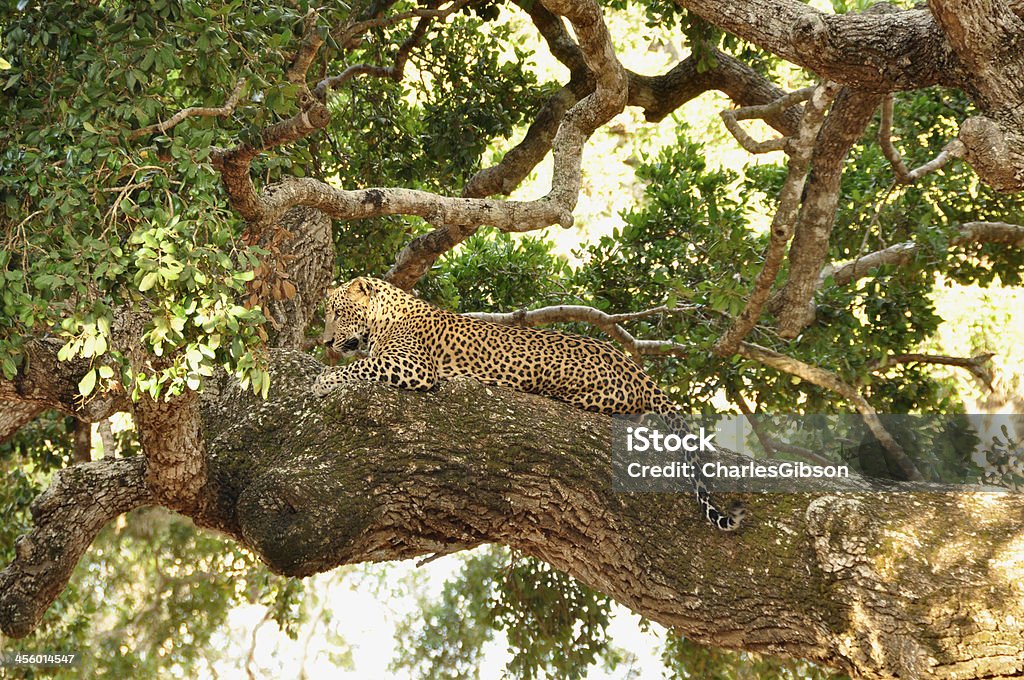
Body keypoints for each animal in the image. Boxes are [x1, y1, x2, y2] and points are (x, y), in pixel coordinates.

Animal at [311, 276, 745, 532]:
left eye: (338, 313)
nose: (326, 341)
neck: (382, 317)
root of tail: (635, 368)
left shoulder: (412, 364)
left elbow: (360, 365)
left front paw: (322, 381)